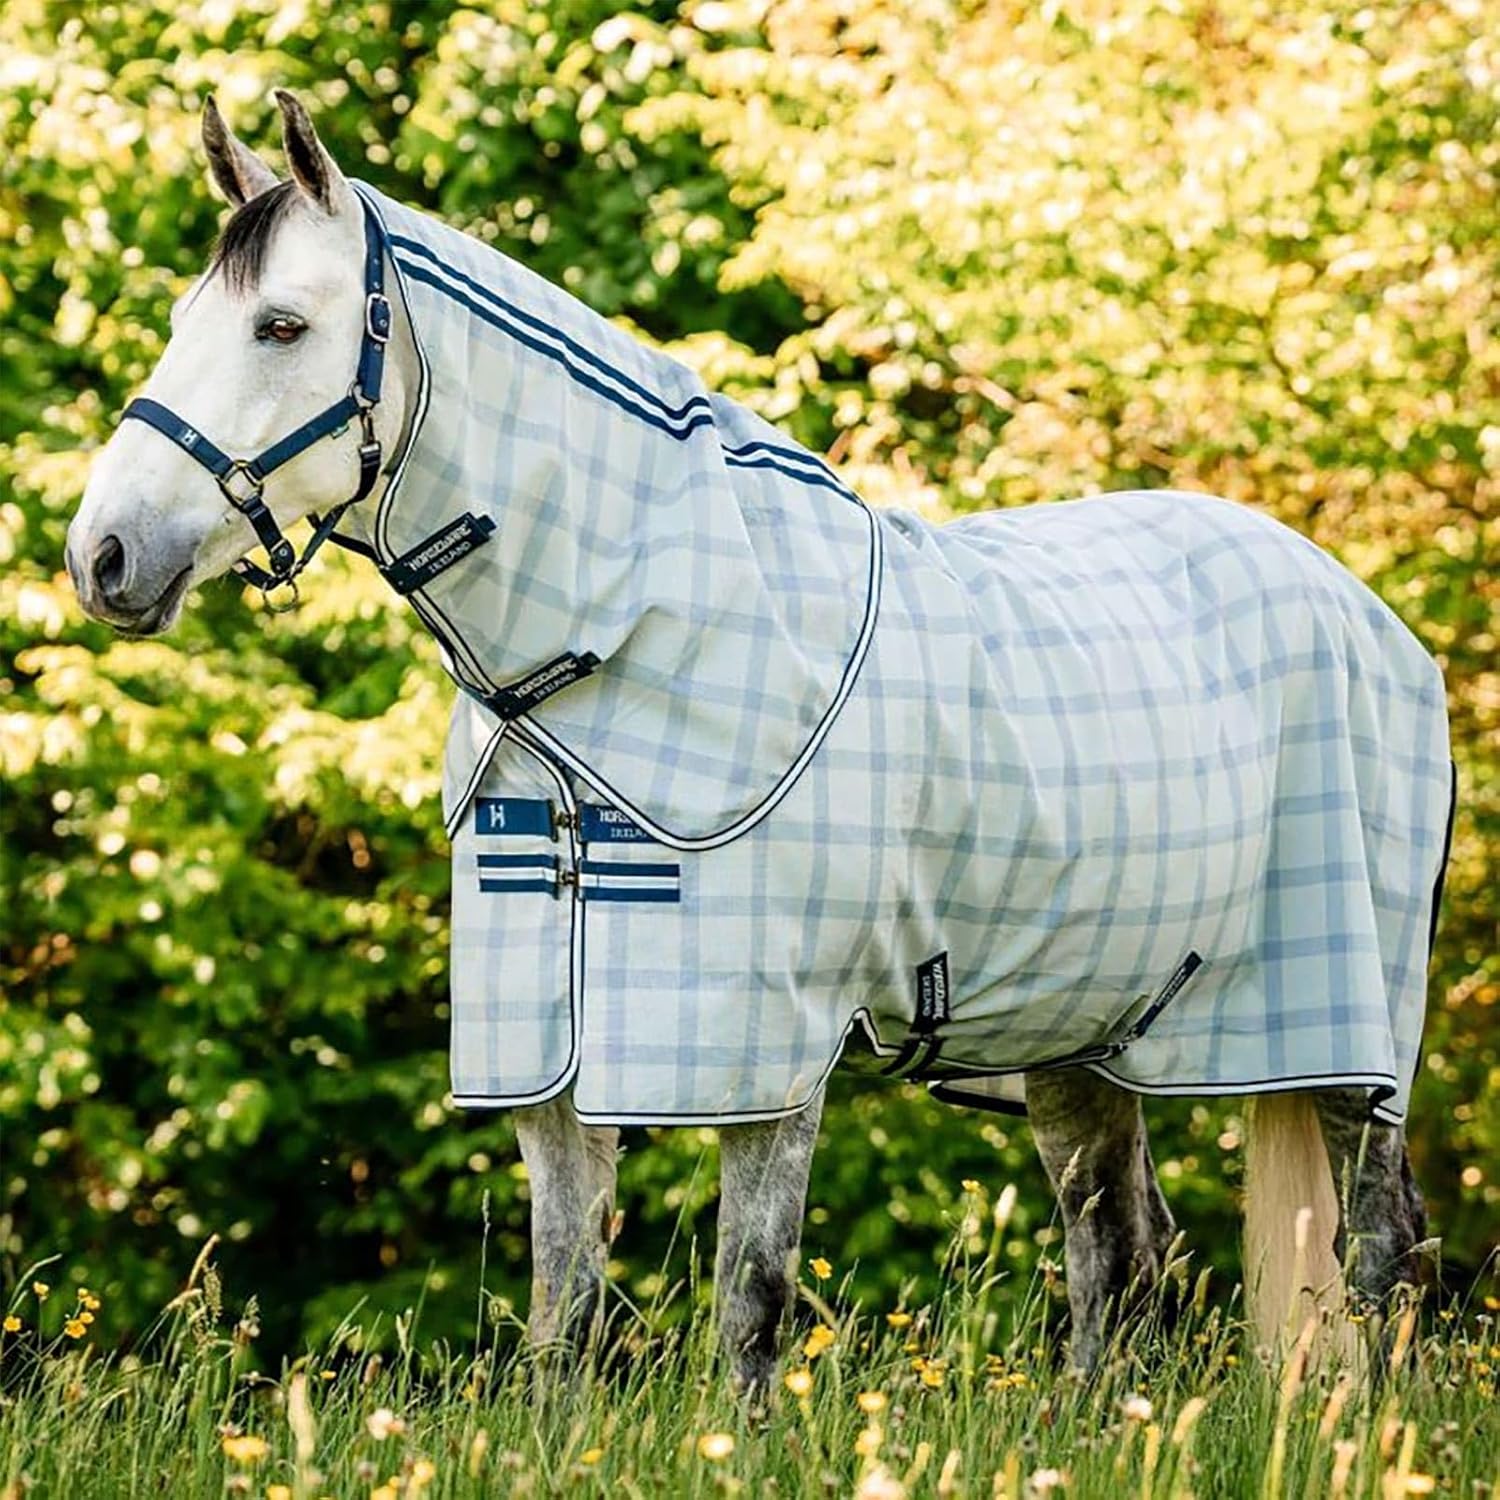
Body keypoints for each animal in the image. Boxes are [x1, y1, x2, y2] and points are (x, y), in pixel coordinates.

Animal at [65, 90, 1451, 1390]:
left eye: (280, 326)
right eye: (188, 322)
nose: (104, 557)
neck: (617, 652)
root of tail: (1371, 618)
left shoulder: (764, 1056)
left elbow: (749, 1307)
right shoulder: (549, 1069)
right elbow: (563, 1316)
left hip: (1348, 1047)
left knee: (1377, 1255)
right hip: (1087, 1035)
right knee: (1121, 1256)